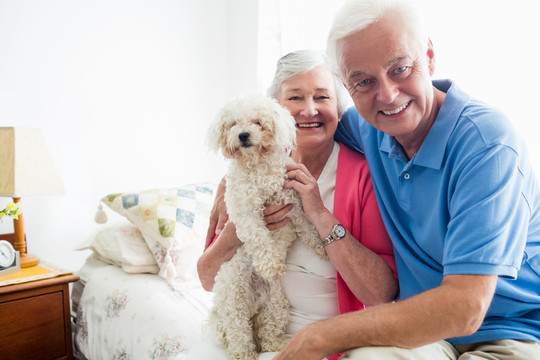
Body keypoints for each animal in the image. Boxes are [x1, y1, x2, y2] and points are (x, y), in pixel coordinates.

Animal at [206, 94, 324, 358]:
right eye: (233, 124)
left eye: (258, 122)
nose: (243, 135)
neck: (257, 166)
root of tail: (254, 302)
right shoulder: (246, 213)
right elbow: (259, 238)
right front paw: (270, 265)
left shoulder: (293, 202)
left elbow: (308, 226)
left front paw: (322, 246)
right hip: (235, 301)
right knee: (240, 333)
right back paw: (244, 353)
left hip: (276, 303)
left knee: (266, 331)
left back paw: (277, 344)